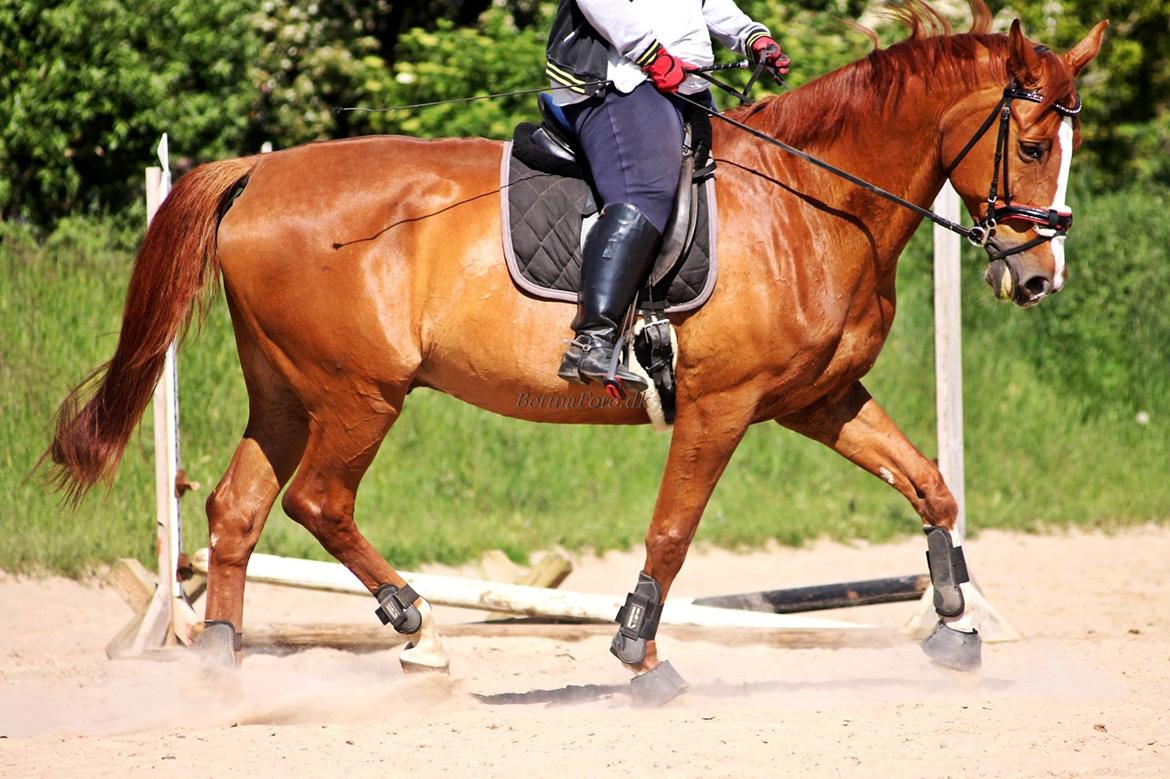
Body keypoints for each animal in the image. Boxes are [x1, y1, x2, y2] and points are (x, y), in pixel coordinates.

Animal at [45, 16, 1104, 687]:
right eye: (1034, 144)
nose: (1038, 276)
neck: (811, 202)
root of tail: (258, 173)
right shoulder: (722, 404)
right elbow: (673, 531)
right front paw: (639, 653)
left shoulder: (821, 397)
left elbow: (930, 484)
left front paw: (956, 622)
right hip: (359, 393)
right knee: (317, 502)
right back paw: (418, 630)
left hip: (285, 391)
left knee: (236, 508)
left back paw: (222, 656)